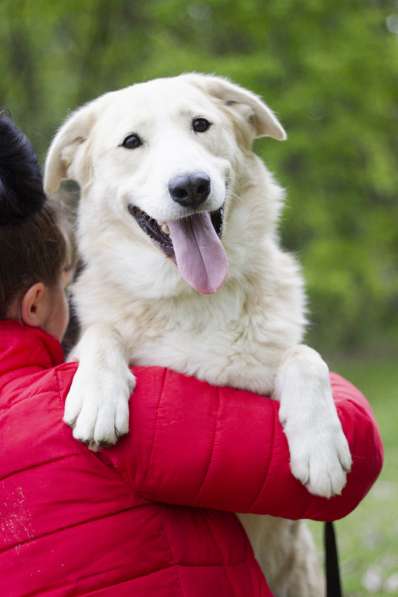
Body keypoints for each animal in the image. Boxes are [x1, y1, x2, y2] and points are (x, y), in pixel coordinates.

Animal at [45, 74, 352, 596]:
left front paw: (321, 446)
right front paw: (98, 396)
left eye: (201, 125)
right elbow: (103, 335)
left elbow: (305, 357)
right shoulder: (98, 335)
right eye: (131, 142)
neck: (194, 296)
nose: (190, 186)